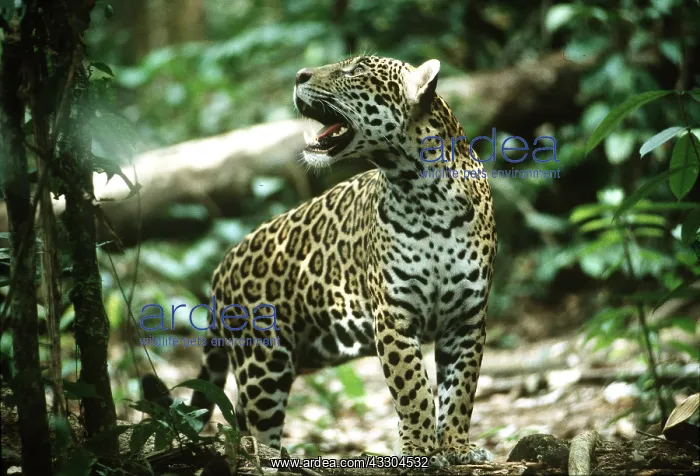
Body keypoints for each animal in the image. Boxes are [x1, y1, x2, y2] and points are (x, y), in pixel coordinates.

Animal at [147, 55, 497, 467]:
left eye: (355, 70)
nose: (299, 75)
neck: (424, 193)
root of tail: (223, 265)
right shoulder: (393, 315)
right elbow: (412, 388)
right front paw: (420, 451)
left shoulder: (466, 319)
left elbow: (460, 390)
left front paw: (457, 448)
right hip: (263, 361)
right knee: (254, 422)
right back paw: (265, 457)